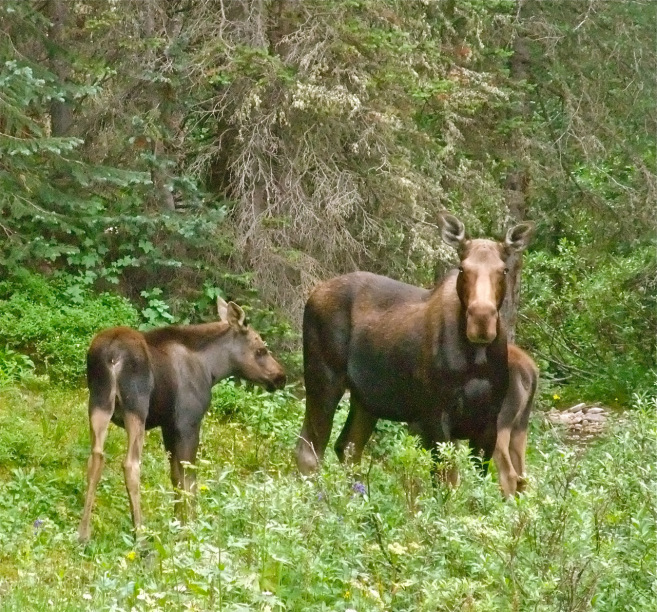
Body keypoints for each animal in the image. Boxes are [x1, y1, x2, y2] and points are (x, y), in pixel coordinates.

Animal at [77, 298, 284, 544]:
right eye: (261, 349)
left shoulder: (168, 425)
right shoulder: (188, 422)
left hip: (98, 402)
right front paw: (190, 529)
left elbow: (175, 476)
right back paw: (140, 535)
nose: (281, 377)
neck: (212, 369)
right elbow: (189, 479)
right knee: (131, 464)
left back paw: (83, 533)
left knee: (96, 458)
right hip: (136, 407)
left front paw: (177, 524)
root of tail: (112, 355)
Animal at [296, 213, 532, 494]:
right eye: (463, 268)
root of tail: (313, 294)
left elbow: (475, 487)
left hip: (366, 399)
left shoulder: (488, 423)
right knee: (310, 449)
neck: (476, 359)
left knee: (348, 448)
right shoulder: (436, 417)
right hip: (323, 378)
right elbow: (445, 483)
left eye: (503, 270)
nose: (481, 319)